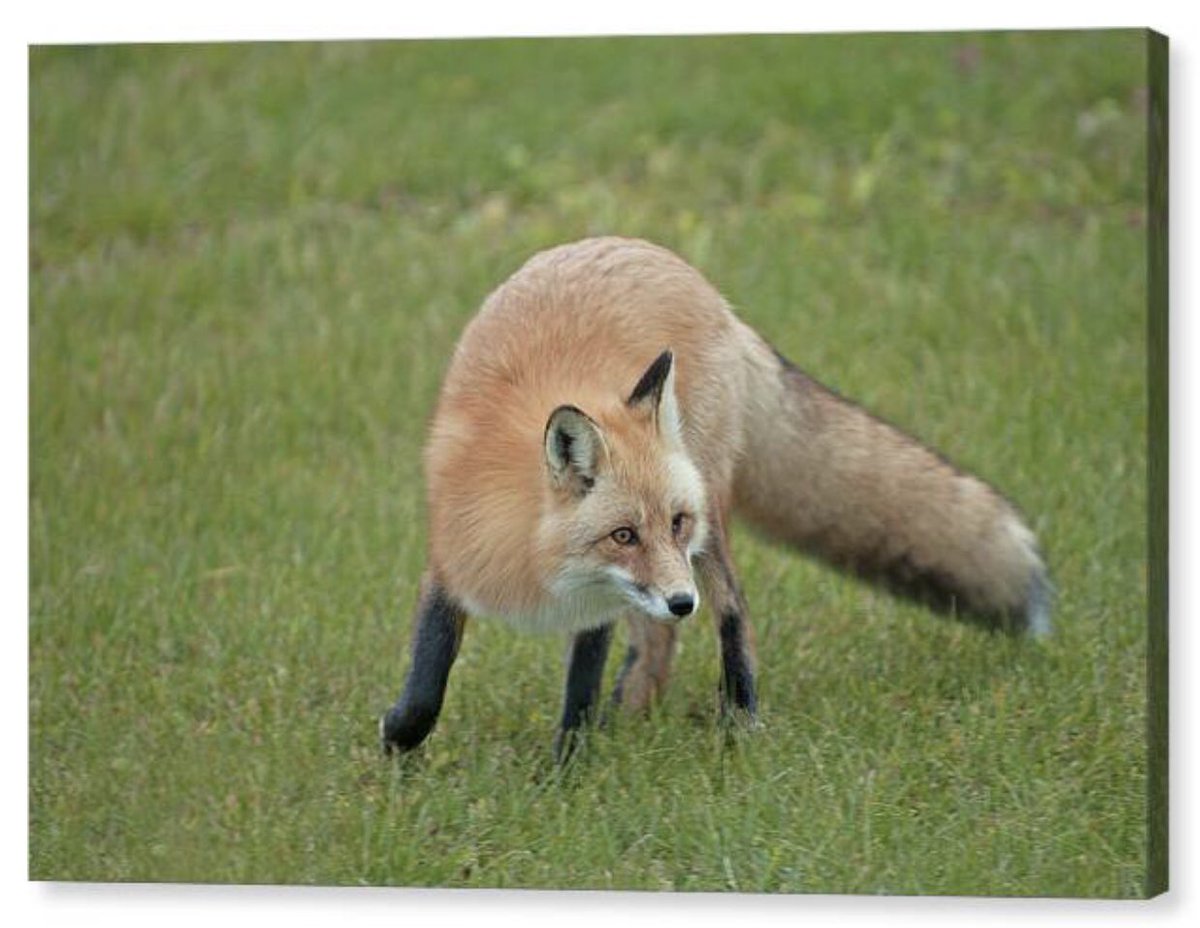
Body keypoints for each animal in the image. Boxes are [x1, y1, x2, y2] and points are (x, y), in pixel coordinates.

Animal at [380, 236, 1050, 760]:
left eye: (673, 522)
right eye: (623, 535)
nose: (682, 602)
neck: (539, 567)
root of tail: (701, 284)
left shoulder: (605, 605)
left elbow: (578, 693)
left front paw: (565, 772)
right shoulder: (452, 563)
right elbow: (427, 681)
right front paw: (399, 745)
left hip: (709, 533)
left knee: (731, 611)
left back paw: (738, 717)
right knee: (658, 644)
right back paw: (630, 714)